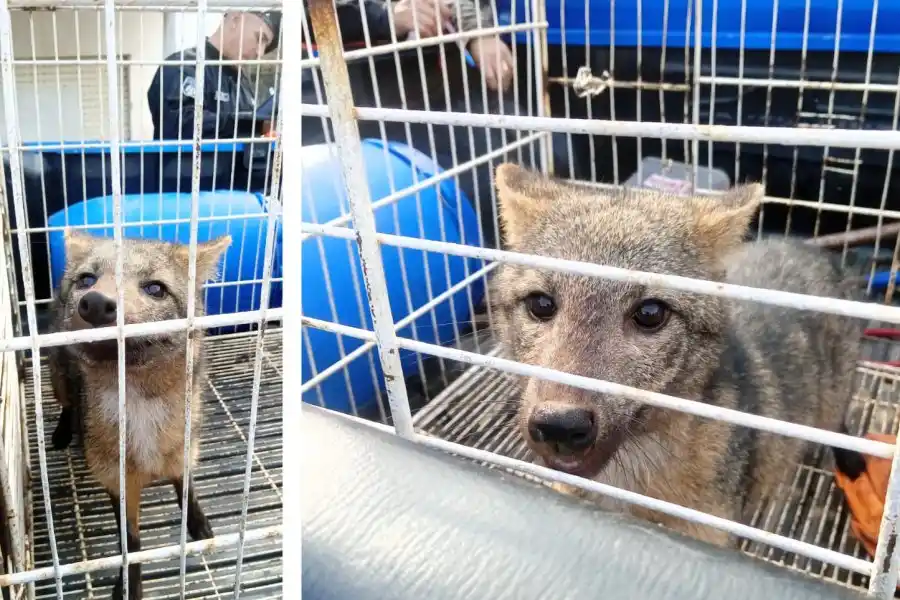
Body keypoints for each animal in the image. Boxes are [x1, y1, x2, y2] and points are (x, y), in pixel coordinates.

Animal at [48, 229, 231, 600]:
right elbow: (130, 546)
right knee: (68, 404)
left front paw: (199, 523)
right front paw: (129, 585)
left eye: (155, 288)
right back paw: (62, 430)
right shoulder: (117, 482)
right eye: (87, 280)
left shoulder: (185, 452)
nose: (95, 303)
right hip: (58, 380)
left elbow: (187, 488)